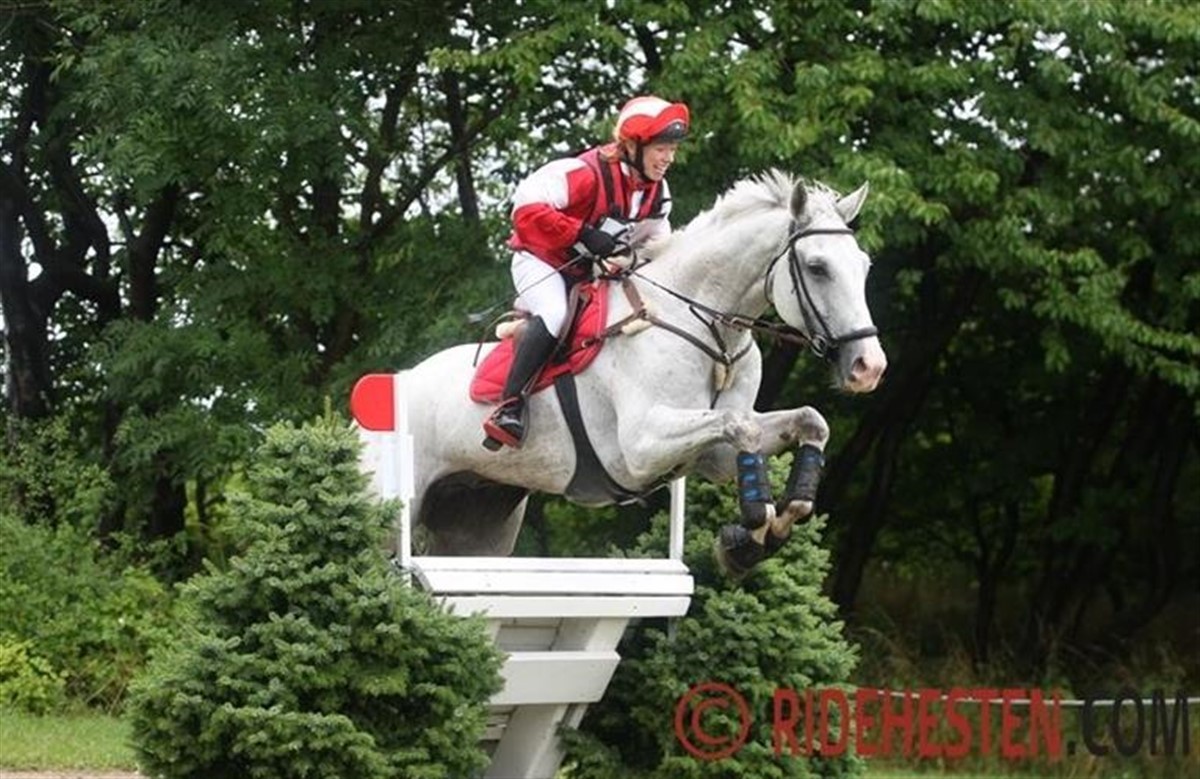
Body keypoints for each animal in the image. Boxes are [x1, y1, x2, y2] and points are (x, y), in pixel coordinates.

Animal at [367, 170, 886, 575]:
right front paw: (752, 531)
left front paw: (771, 526)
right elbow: (742, 428)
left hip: (479, 527)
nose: (869, 367)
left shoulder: (712, 455)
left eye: (864, 266)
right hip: (391, 510)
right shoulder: (639, 447)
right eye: (817, 268)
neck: (709, 328)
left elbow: (807, 421)